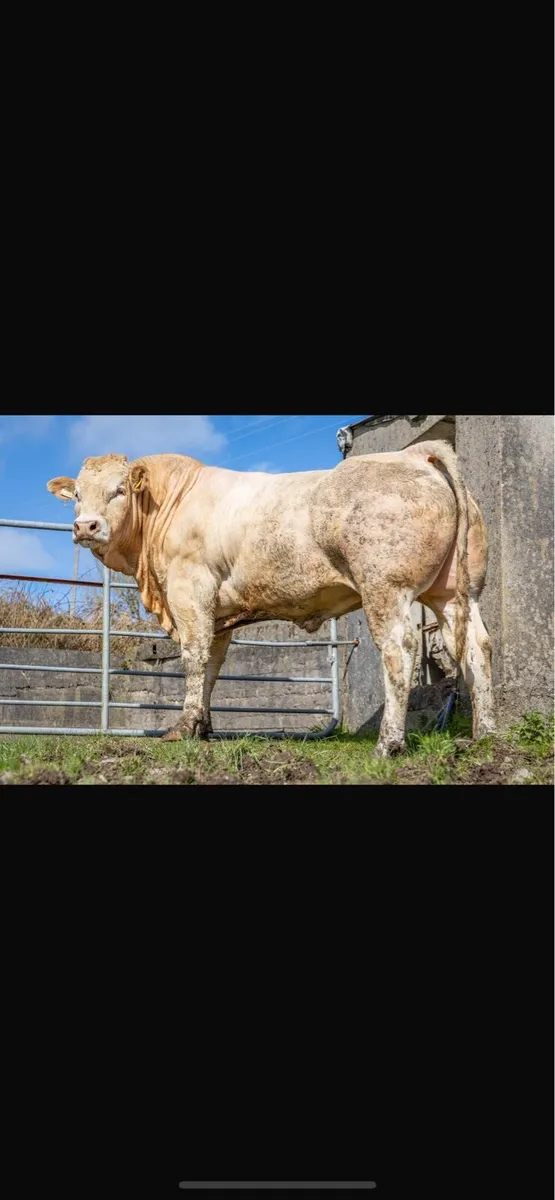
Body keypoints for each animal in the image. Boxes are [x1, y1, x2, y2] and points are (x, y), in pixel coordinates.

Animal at [46, 440, 495, 756]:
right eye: (78, 495)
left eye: (119, 490)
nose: (85, 526)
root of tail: (414, 454)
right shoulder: (218, 614)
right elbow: (212, 667)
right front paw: (203, 729)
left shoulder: (190, 590)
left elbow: (193, 658)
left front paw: (182, 727)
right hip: (455, 592)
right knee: (476, 647)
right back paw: (484, 736)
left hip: (386, 587)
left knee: (399, 650)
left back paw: (389, 744)